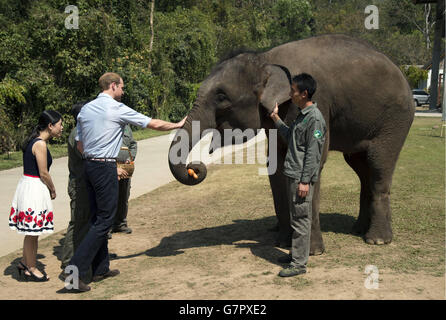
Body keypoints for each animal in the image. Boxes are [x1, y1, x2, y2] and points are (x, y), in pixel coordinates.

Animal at [167, 33, 414, 255]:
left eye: (221, 97)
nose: (195, 168)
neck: (265, 59)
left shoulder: (318, 103)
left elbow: (311, 162)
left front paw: (313, 252)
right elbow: (276, 165)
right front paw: (283, 242)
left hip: (395, 120)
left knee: (379, 165)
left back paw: (377, 240)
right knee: (361, 168)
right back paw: (358, 229)